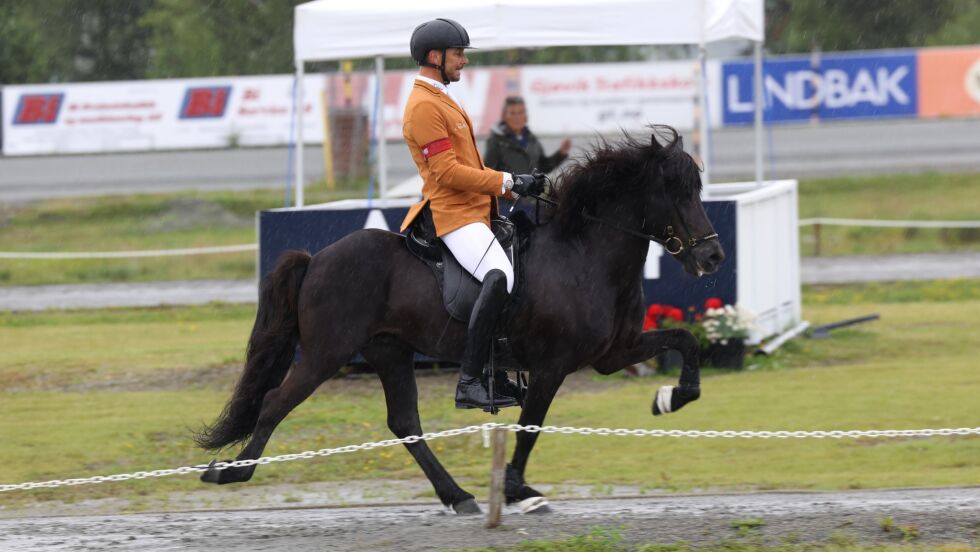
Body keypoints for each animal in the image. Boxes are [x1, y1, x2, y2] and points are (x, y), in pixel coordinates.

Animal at [197, 125, 720, 512]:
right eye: (674, 191)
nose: (712, 257)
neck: (584, 253)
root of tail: (317, 258)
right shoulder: (552, 366)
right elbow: (531, 426)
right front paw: (518, 490)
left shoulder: (614, 352)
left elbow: (687, 340)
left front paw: (671, 397)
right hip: (326, 354)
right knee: (274, 403)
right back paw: (230, 471)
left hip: (389, 350)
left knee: (404, 422)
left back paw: (458, 496)